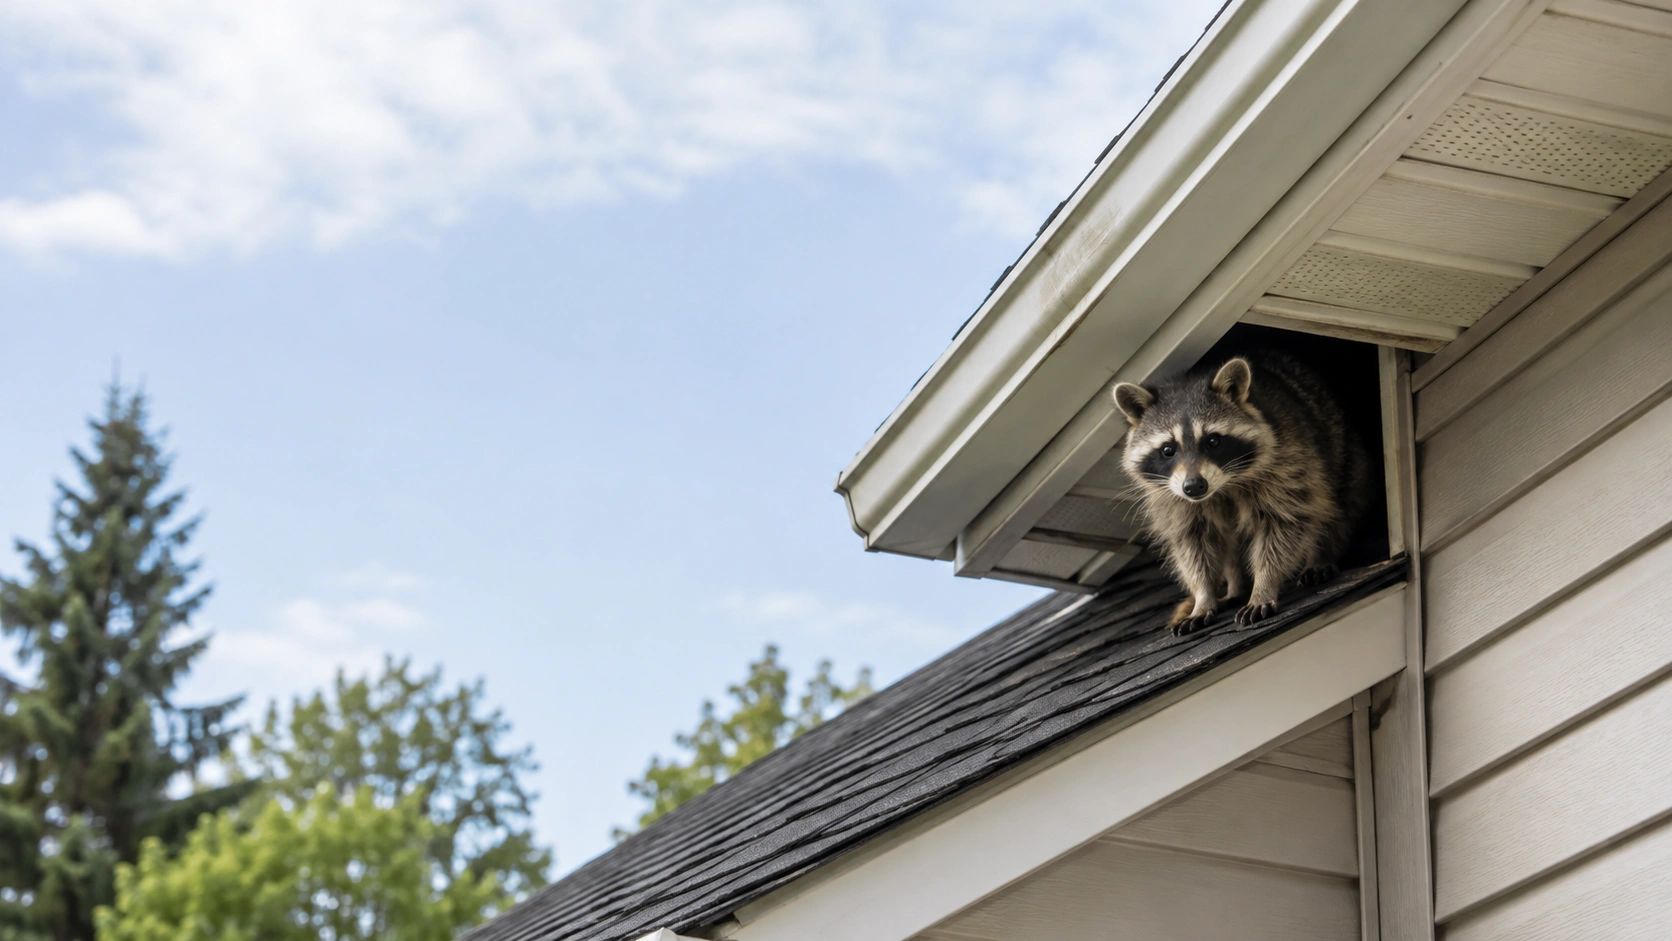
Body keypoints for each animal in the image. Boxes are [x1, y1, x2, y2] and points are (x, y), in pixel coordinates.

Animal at [1111, 353, 1372, 635]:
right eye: (1168, 449)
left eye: (1213, 441)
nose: (1194, 486)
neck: (1222, 487)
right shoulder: (1175, 500)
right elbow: (1193, 545)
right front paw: (1203, 596)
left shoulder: (1288, 461)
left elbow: (1283, 524)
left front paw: (1264, 586)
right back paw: (1234, 586)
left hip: (1340, 449)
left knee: (1332, 505)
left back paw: (1321, 554)